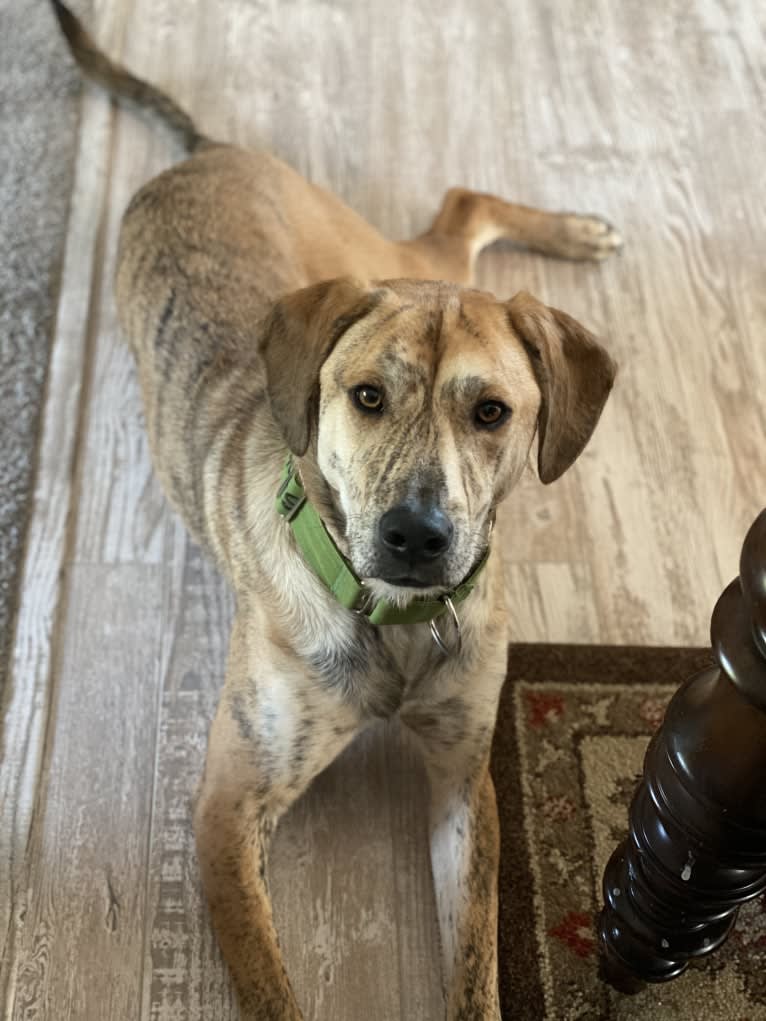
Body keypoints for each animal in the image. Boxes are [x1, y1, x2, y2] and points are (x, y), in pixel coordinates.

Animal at [52, 3, 616, 1016]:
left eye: (492, 411)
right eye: (366, 397)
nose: (416, 536)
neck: (394, 621)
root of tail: (204, 152)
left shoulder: (463, 780)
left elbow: (474, 963)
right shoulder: (228, 807)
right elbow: (270, 983)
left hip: (369, 253)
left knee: (464, 208)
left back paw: (574, 231)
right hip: (373, 261)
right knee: (457, 211)